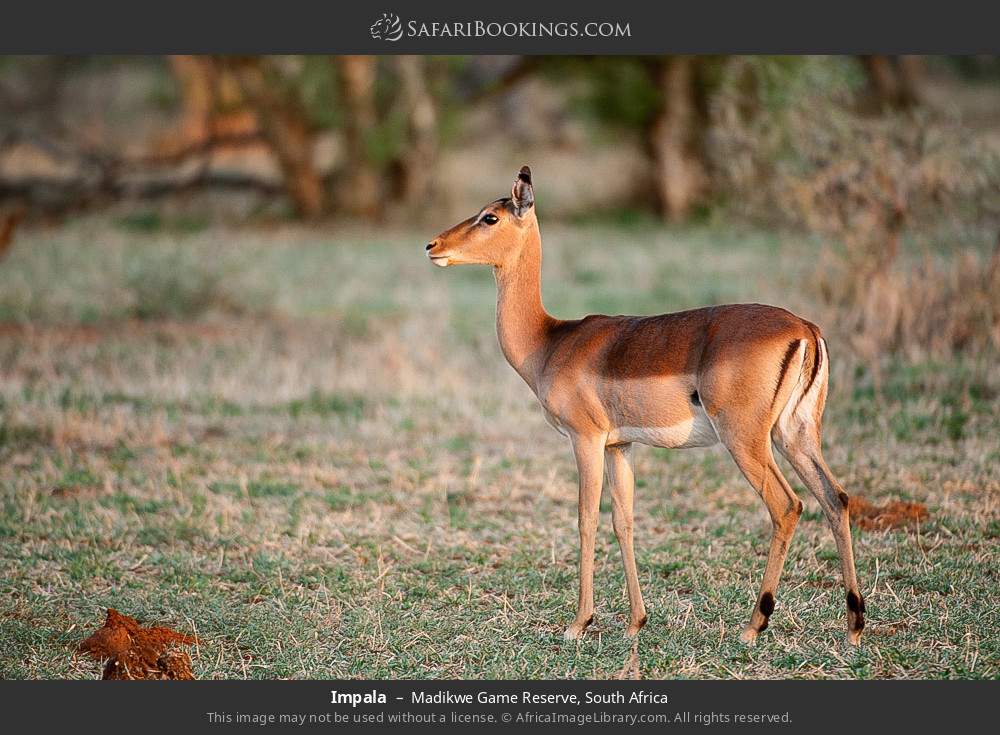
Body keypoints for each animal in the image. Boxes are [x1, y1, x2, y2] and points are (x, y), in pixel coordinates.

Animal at [425, 166, 865, 646]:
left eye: (490, 216)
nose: (433, 246)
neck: (549, 341)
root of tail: (805, 328)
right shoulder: (620, 446)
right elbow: (624, 520)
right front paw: (636, 621)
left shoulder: (585, 439)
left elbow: (586, 519)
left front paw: (578, 623)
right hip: (794, 435)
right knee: (836, 498)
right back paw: (854, 625)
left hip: (745, 439)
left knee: (787, 506)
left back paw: (754, 625)